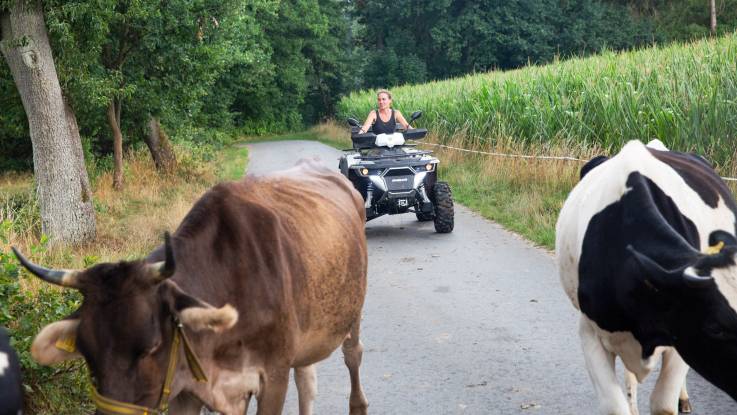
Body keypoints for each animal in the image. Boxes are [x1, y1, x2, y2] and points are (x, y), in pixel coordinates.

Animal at [15, 162, 374, 415]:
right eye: (87, 353)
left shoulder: (273, 376)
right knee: (307, 380)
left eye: (151, 347)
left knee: (352, 355)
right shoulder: (186, 390)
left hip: (353, 311)